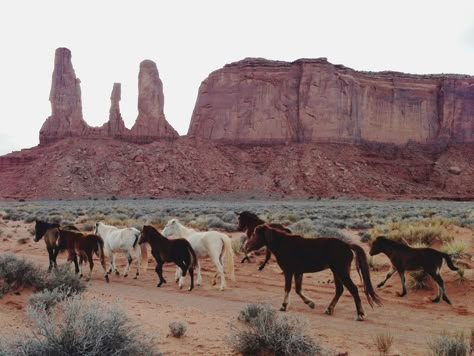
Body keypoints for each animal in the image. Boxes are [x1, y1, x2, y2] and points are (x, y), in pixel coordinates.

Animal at [246, 224, 380, 322]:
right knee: (339, 290)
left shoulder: (289, 271)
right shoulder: (298, 272)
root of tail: (347, 245)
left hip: (341, 271)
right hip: (336, 272)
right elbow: (298, 289)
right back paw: (329, 309)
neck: (284, 244)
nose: (246, 247)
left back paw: (360, 315)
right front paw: (310, 303)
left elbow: (288, 288)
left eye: (255, 234)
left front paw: (284, 306)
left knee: (353, 289)